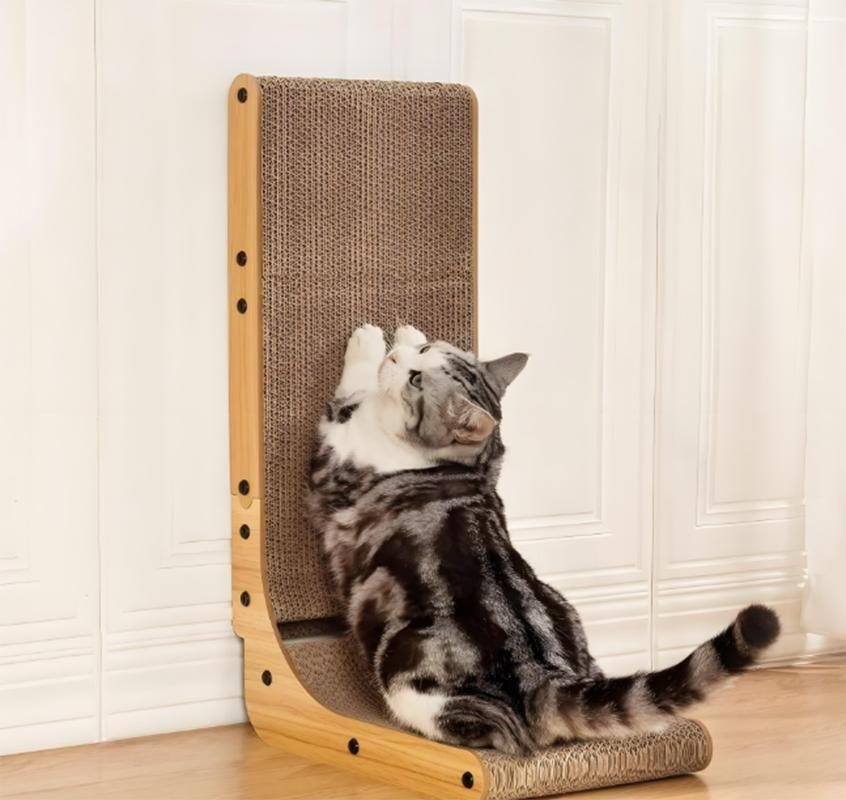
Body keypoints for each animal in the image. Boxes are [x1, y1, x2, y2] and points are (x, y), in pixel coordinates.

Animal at [306, 323, 780, 754]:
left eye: (416, 381)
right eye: (419, 356)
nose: (395, 358)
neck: (464, 462)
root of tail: (546, 677)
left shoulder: (334, 459)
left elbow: (349, 393)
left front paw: (368, 343)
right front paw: (403, 333)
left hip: (411, 673)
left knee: (499, 734)